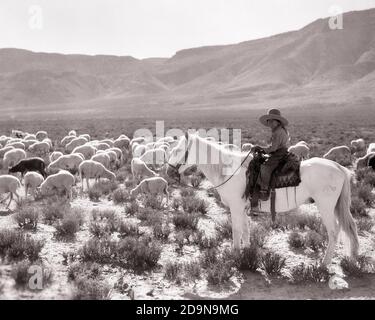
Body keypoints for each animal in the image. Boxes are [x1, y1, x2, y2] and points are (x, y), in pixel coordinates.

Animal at [169, 131, 360, 266]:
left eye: (178, 150)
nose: (168, 171)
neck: (229, 170)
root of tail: (339, 167)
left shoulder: (235, 208)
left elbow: (236, 231)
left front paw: (235, 256)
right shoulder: (243, 208)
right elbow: (245, 230)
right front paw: (247, 253)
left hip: (325, 206)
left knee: (333, 232)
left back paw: (324, 265)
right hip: (335, 206)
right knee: (346, 228)